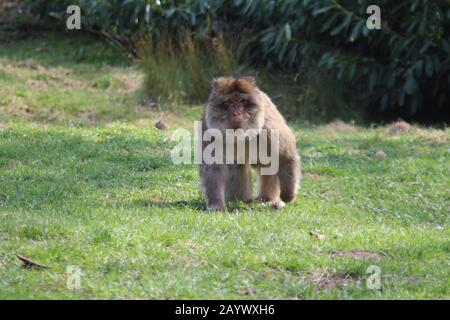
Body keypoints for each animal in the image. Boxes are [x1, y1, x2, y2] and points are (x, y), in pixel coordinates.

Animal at [199, 76, 300, 211]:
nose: (237, 113)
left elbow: (284, 157)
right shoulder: (210, 131)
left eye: (242, 101)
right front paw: (216, 204)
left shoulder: (268, 127)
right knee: (237, 164)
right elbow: (213, 166)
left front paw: (288, 195)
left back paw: (268, 199)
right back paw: (239, 199)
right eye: (229, 102)